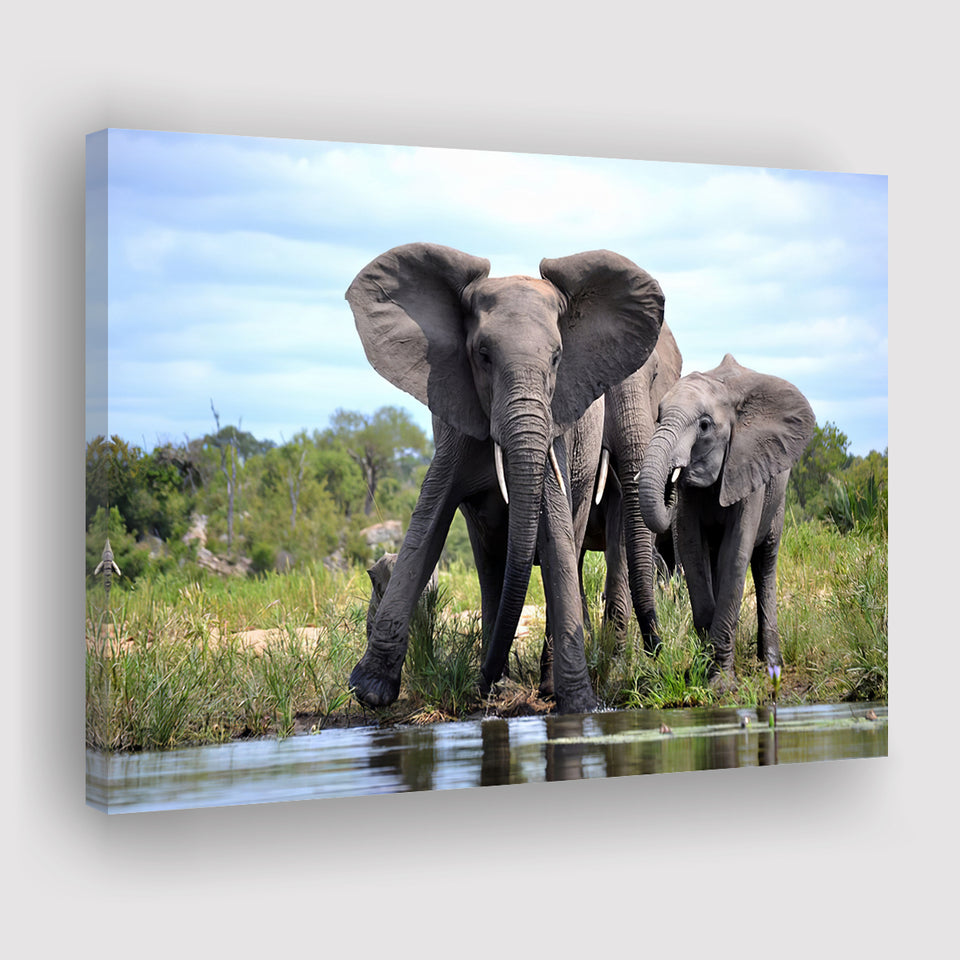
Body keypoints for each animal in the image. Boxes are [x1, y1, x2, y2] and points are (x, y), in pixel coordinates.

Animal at [345, 242, 665, 713]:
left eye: (557, 358)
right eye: (482, 354)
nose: (475, 683)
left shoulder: (554, 433)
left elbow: (554, 533)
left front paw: (581, 705)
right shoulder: (454, 425)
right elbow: (427, 523)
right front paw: (369, 691)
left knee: (567, 537)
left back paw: (537, 686)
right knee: (490, 562)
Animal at [635, 354, 815, 684]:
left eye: (704, 426)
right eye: (658, 417)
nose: (669, 482)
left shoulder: (748, 462)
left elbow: (736, 552)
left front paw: (719, 683)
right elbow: (692, 549)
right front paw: (703, 667)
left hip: (778, 494)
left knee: (765, 562)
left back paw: (771, 663)